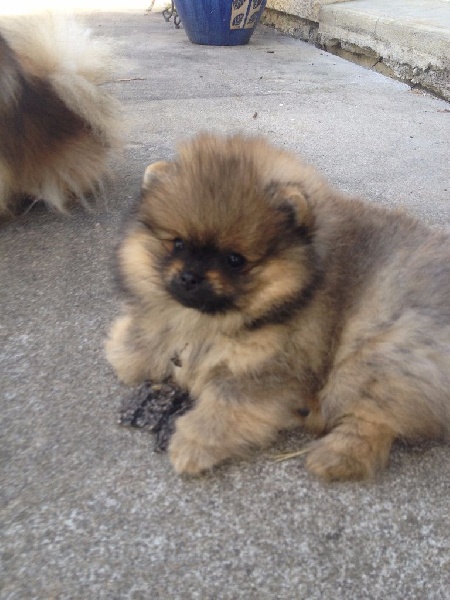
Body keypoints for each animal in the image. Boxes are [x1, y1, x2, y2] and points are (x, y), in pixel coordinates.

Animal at [105, 133, 450, 480]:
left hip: (377, 353)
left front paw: (193, 446)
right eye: (178, 244)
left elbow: (226, 406)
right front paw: (124, 342)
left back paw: (332, 455)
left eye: (234, 260)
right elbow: (136, 347)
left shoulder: (272, 370)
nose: (190, 277)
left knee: (375, 422)